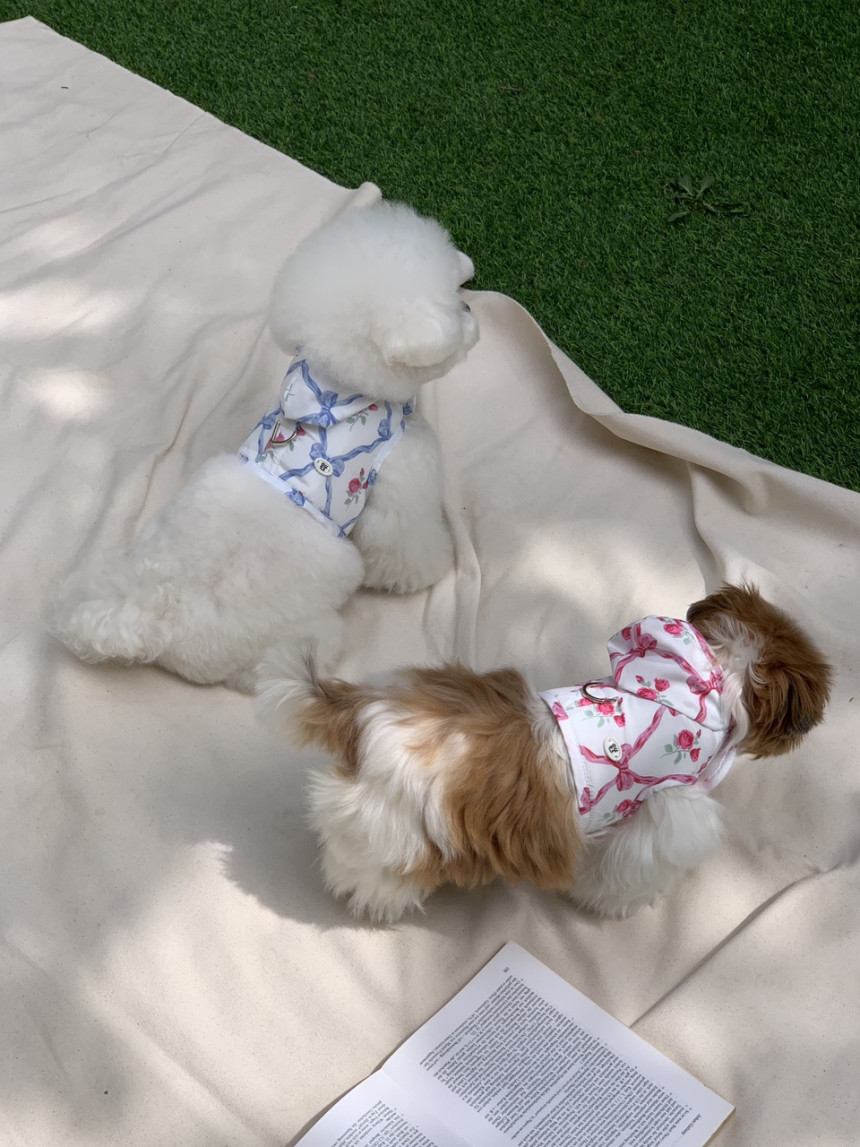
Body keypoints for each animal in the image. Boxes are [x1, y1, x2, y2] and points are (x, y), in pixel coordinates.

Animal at [50, 202, 478, 691]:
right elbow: (406, 549)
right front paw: (433, 568)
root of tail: (157, 619)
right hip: (302, 640)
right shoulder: (403, 486)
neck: (338, 386)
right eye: (454, 307)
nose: (471, 308)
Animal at [260, 583, 832, 921]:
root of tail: (358, 708)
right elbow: (628, 867)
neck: (700, 680)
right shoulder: (664, 811)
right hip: (395, 830)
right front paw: (608, 901)